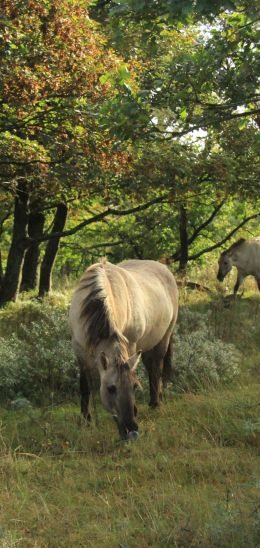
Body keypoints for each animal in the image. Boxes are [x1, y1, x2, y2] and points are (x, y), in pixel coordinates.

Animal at [69, 260, 179, 440]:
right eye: (111, 388)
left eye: (134, 386)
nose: (131, 430)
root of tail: (163, 267)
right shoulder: (80, 352)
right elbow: (84, 388)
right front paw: (87, 422)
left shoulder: (131, 346)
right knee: (151, 368)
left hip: (164, 338)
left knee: (157, 369)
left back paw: (156, 403)